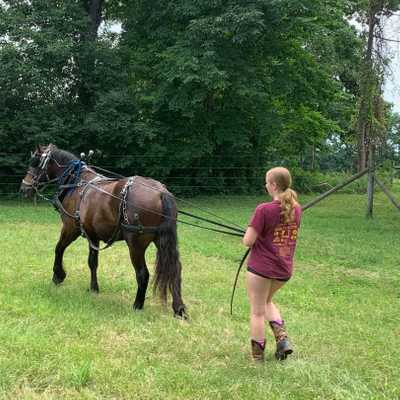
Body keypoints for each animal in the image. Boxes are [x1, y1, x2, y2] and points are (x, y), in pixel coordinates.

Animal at [19, 145, 187, 318]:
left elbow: (59, 249)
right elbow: (92, 262)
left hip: (136, 245)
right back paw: (179, 308)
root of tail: (161, 192)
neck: (76, 184)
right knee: (175, 269)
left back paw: (137, 305)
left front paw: (58, 275)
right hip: (161, 241)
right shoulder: (92, 235)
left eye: (36, 163)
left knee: (143, 274)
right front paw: (93, 288)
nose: (24, 188)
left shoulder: (70, 228)